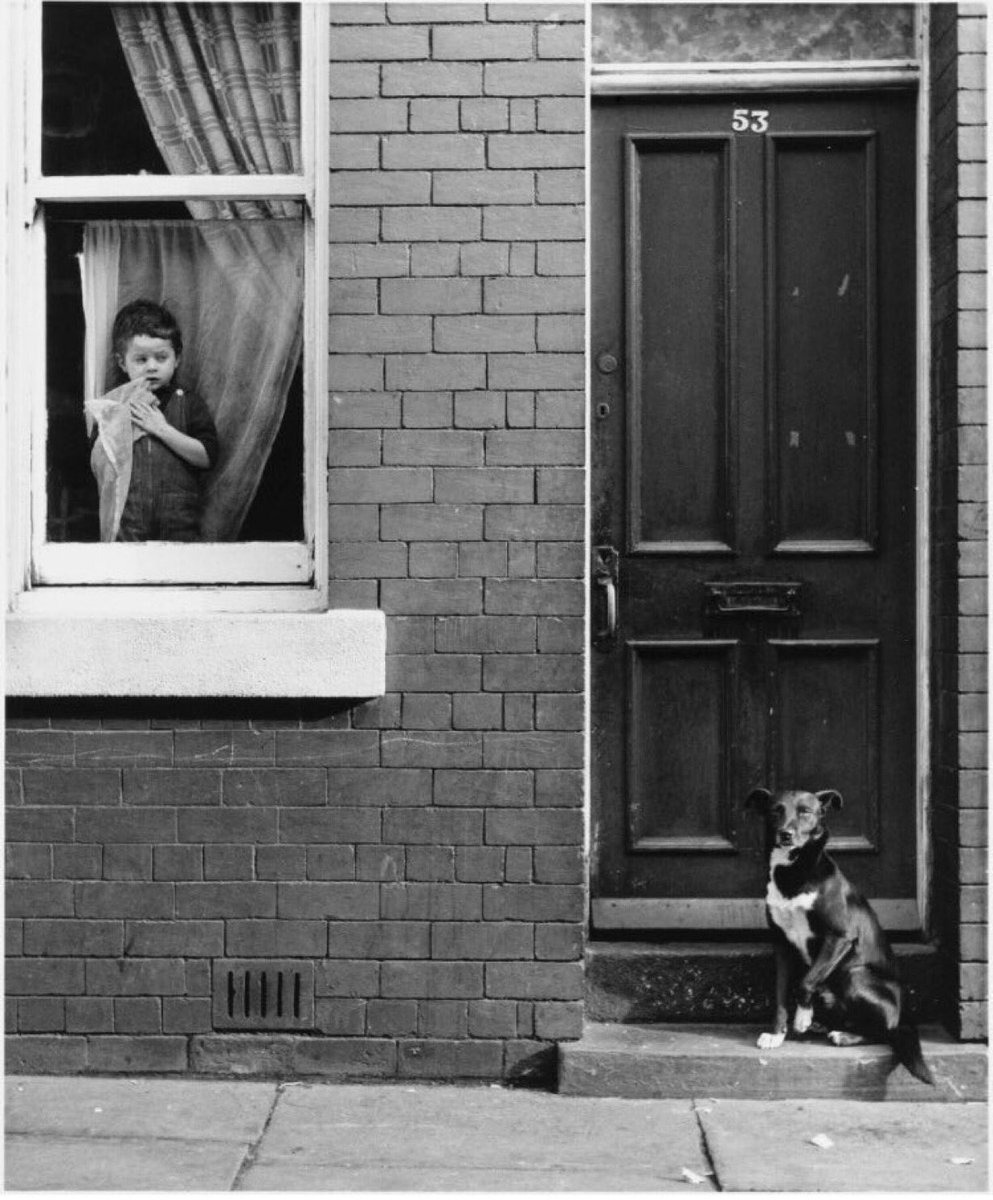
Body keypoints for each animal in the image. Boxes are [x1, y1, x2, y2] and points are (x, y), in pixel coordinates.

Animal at [748, 787, 935, 1089]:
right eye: (776, 810)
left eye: (805, 811)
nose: (785, 834)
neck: (793, 872)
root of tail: (902, 1013)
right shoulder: (782, 945)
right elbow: (780, 994)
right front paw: (777, 1033)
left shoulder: (840, 937)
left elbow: (805, 981)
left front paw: (802, 1017)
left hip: (854, 975)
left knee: (885, 1032)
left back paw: (843, 1034)